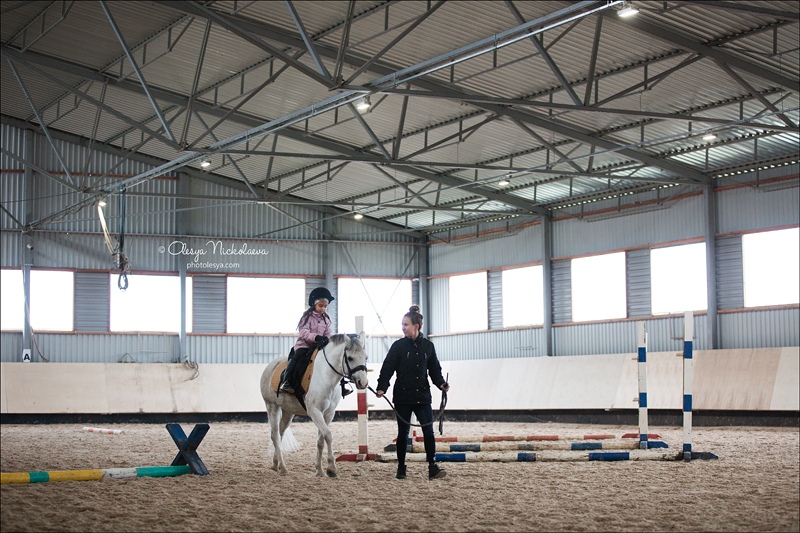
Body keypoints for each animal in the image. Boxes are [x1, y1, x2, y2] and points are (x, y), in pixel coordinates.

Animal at [259, 332, 369, 477]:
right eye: (350, 358)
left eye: (366, 357)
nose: (363, 383)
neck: (326, 375)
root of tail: (270, 366)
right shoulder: (315, 412)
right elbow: (328, 435)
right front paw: (332, 468)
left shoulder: (328, 414)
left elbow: (320, 441)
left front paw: (320, 470)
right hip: (272, 406)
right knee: (275, 435)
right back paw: (282, 467)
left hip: (288, 412)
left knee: (280, 433)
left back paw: (275, 463)